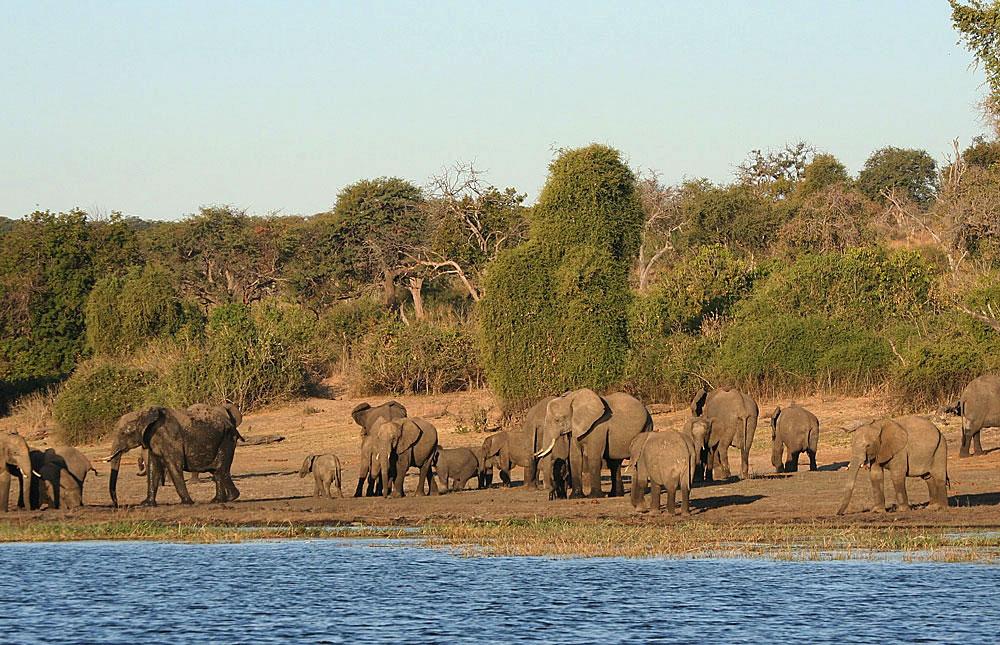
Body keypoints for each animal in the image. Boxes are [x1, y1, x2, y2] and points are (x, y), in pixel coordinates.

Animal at [107, 402, 244, 508]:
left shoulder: (170, 437)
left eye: (123, 433)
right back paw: (218, 500)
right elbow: (153, 468)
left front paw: (187, 503)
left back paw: (231, 497)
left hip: (226, 440)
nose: (117, 505)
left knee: (220, 469)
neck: (143, 414)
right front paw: (146, 504)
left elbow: (174, 466)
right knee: (217, 471)